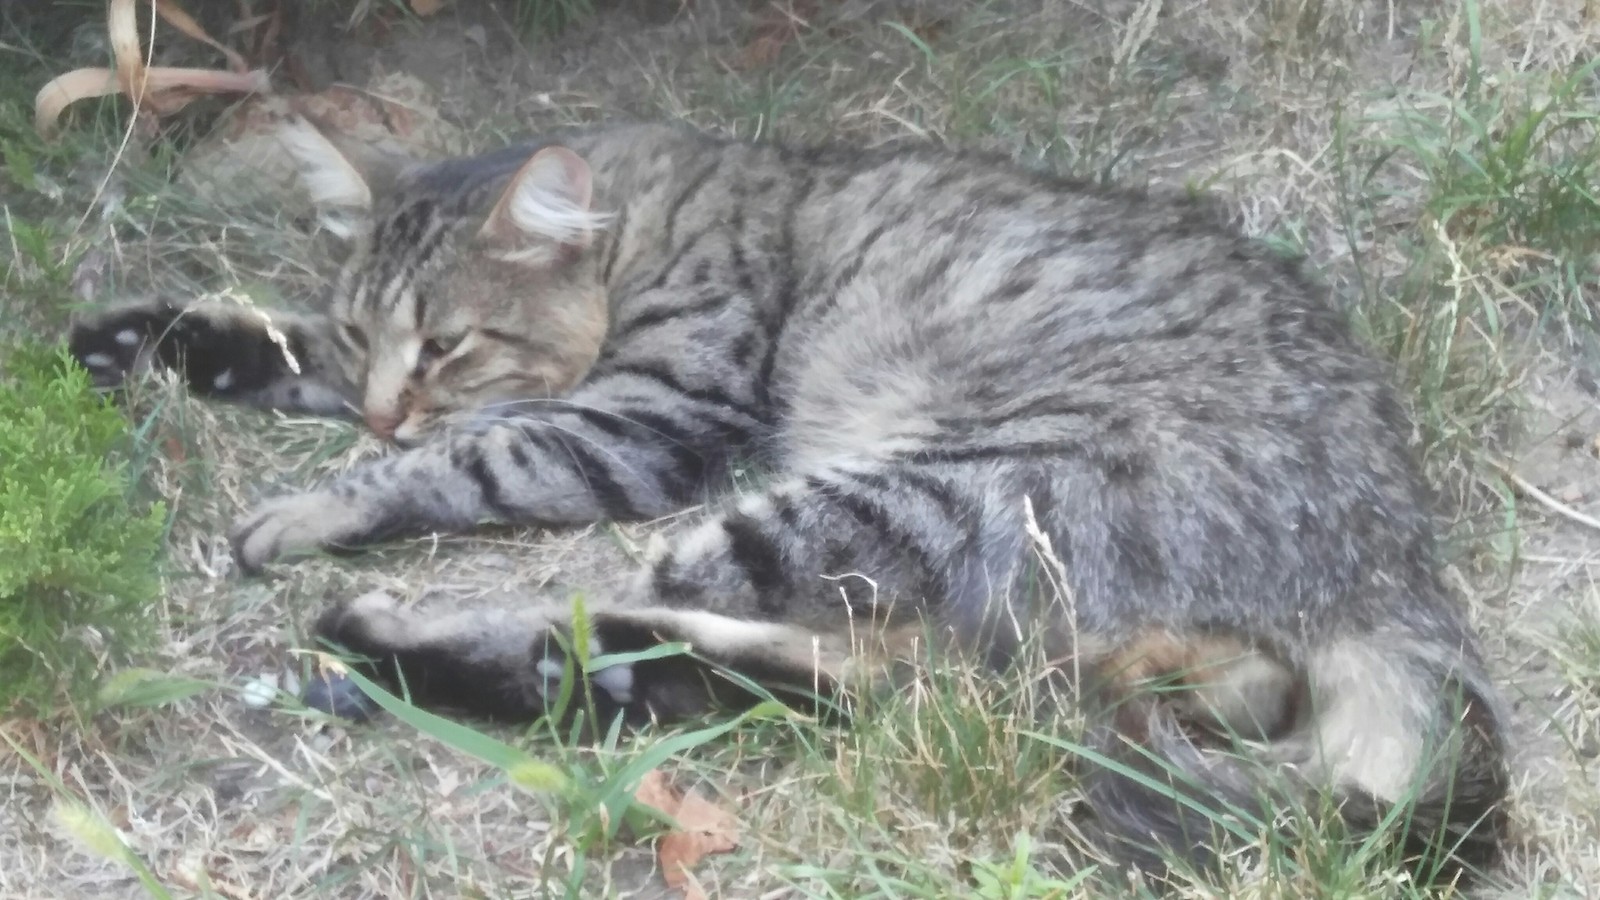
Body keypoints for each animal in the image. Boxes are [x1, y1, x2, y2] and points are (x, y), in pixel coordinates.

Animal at [65, 112, 1510, 883]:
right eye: (375, 338)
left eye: (451, 346)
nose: (381, 405)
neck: (661, 213)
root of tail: (1401, 569)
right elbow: (281, 336)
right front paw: (157, 340)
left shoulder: (638, 422)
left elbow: (453, 459)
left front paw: (315, 506)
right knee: (866, 684)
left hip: (912, 494)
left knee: (625, 621)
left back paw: (385, 650)